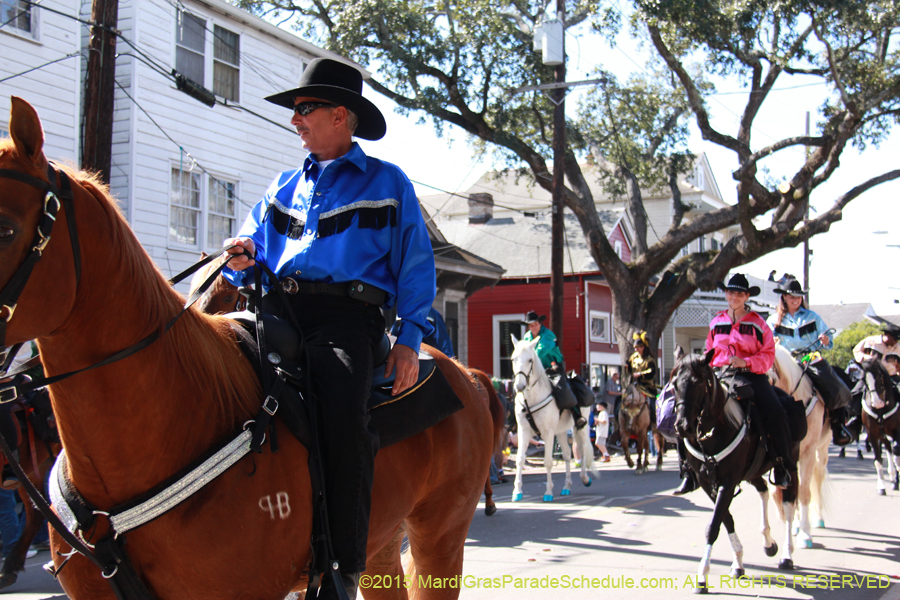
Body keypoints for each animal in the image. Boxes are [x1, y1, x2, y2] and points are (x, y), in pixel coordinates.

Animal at [510, 332, 596, 502]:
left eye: (530, 360)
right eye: (513, 359)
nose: (519, 386)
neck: (532, 399)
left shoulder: (548, 433)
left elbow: (548, 462)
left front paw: (548, 492)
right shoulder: (523, 431)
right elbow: (520, 459)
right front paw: (517, 492)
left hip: (581, 428)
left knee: (582, 451)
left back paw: (585, 478)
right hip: (561, 432)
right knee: (568, 455)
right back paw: (566, 486)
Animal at [768, 346, 832, 548]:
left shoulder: (808, 452)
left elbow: (804, 491)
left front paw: (805, 533)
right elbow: (778, 492)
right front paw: (788, 520)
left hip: (822, 449)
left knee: (817, 479)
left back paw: (818, 519)